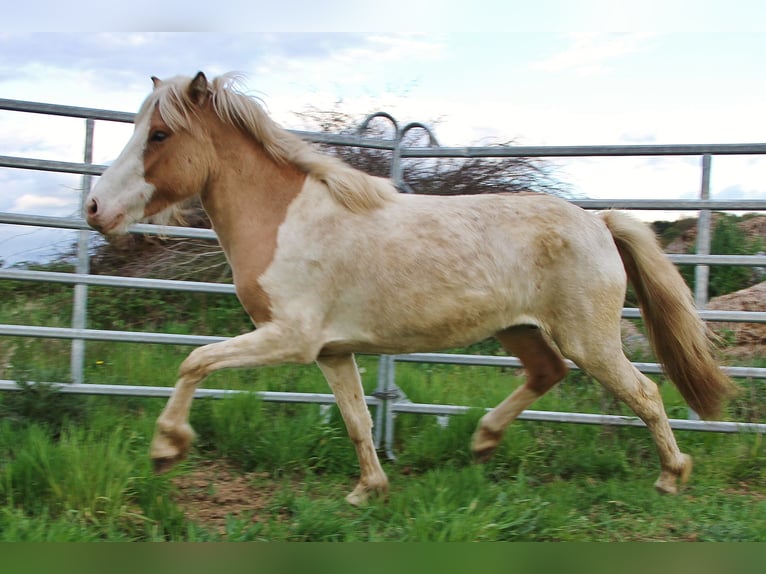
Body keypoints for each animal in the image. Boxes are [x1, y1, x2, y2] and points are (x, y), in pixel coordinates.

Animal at [84, 72, 736, 506]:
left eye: (159, 135)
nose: (95, 209)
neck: (288, 219)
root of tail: (598, 222)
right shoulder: (332, 351)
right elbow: (356, 420)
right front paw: (368, 490)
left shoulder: (289, 338)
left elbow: (193, 361)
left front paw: (166, 449)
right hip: (520, 329)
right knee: (547, 373)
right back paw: (483, 442)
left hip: (589, 338)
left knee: (644, 393)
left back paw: (672, 475)